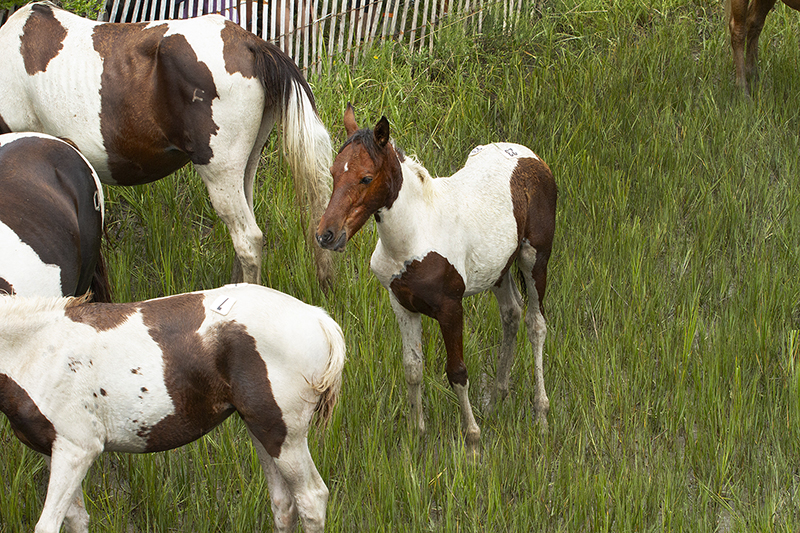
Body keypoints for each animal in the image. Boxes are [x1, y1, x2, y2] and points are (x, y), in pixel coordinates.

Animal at [0, 284, 344, 532]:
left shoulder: (77, 450)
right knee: (284, 504)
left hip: (283, 435)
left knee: (312, 499)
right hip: (261, 429)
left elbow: (48, 524)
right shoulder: (53, 450)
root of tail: (318, 317)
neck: (37, 350)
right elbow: (76, 520)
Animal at [314, 106, 556, 456]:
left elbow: (457, 372)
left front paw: (472, 441)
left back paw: (541, 415)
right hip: (500, 268)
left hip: (534, 258)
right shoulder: (402, 305)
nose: (326, 235)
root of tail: (531, 156)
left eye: (366, 178)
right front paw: (417, 435)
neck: (415, 236)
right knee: (511, 314)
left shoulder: (451, 309)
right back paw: (498, 397)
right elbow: (413, 369)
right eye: (333, 174)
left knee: (536, 325)